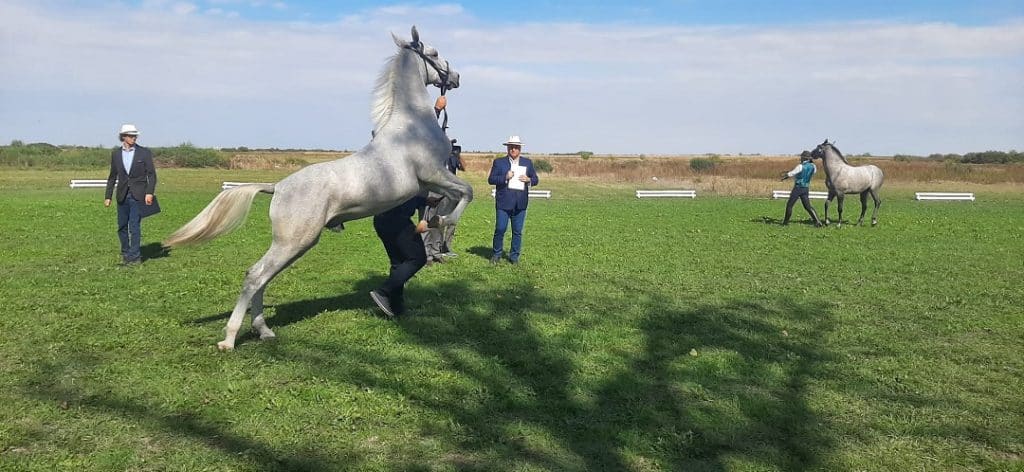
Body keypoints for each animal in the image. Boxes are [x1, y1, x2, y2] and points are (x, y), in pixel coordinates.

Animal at [165, 26, 473, 350]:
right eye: (435, 53)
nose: (456, 77)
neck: (411, 126)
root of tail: (277, 187)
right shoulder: (433, 173)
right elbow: (466, 192)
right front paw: (440, 222)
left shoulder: (431, 181)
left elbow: (452, 196)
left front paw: (435, 222)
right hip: (294, 241)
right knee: (255, 275)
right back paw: (230, 339)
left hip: (295, 245)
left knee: (262, 278)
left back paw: (264, 330)